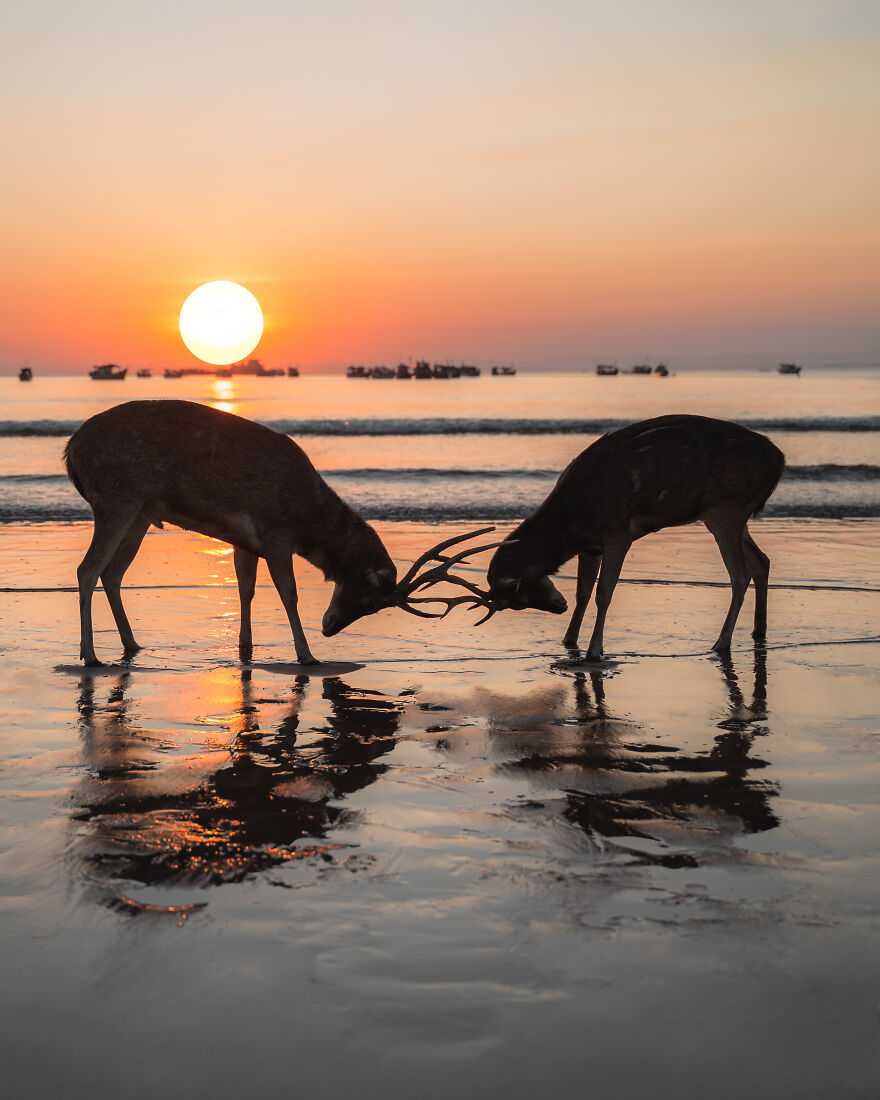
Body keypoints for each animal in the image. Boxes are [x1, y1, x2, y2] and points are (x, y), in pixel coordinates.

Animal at [64, 400, 499, 664]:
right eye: (371, 599)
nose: (329, 628)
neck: (309, 521)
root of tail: (70, 450)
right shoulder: (274, 532)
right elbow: (288, 593)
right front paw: (306, 655)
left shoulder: (244, 541)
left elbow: (246, 589)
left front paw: (245, 648)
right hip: (118, 498)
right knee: (87, 570)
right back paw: (90, 655)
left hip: (140, 513)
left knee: (112, 573)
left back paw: (132, 644)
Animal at [453, 415, 783, 660]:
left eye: (518, 597)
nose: (558, 606)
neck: (571, 524)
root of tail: (778, 461)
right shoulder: (591, 546)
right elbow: (583, 592)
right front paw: (569, 640)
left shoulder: (618, 534)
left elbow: (604, 592)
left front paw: (594, 651)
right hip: (734, 515)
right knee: (762, 561)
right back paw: (759, 631)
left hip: (726, 508)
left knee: (739, 575)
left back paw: (721, 643)